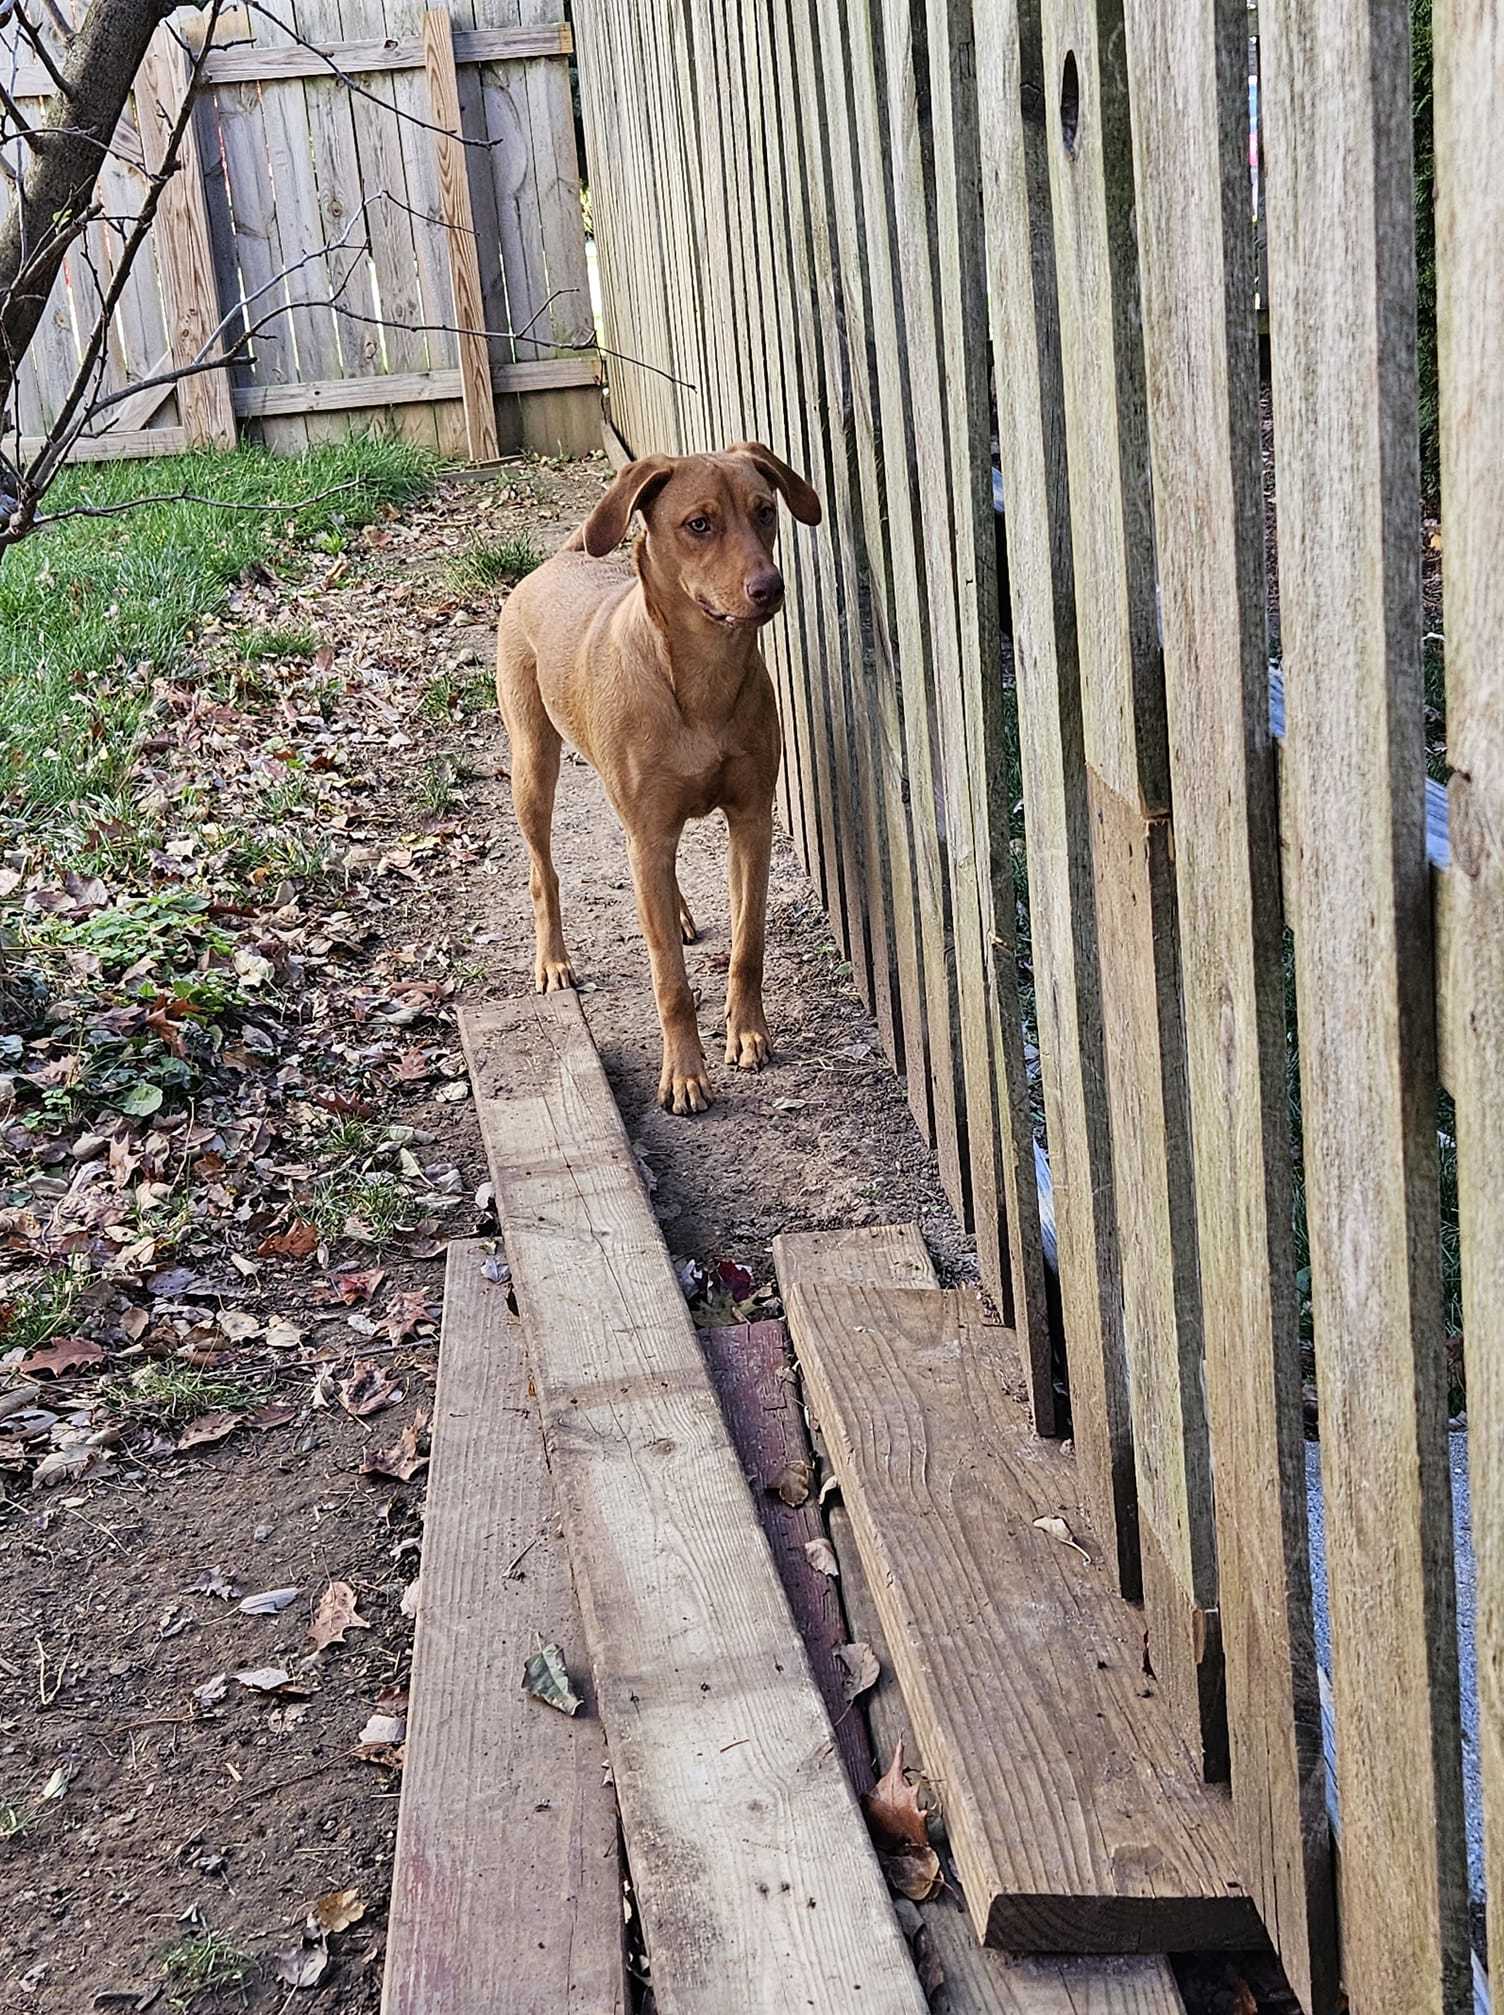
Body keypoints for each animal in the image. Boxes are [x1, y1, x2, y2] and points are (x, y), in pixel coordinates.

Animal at [491, 441, 818, 1120]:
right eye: (699, 524)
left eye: (765, 511)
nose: (769, 588)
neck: (700, 682)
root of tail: (557, 562)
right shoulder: (648, 834)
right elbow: (670, 980)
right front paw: (685, 1075)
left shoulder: (750, 820)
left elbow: (747, 945)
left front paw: (747, 1032)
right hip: (533, 767)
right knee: (543, 872)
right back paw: (553, 961)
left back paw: (682, 912)